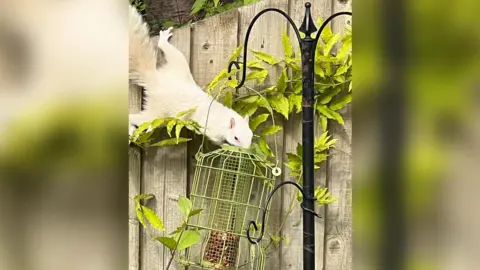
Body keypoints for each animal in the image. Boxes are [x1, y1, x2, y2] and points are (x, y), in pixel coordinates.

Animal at [129, 4, 253, 148]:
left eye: (251, 136)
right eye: (236, 138)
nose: (247, 150)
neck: (223, 119)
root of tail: (155, 79)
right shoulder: (211, 130)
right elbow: (216, 140)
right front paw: (224, 147)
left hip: (179, 63)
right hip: (157, 113)